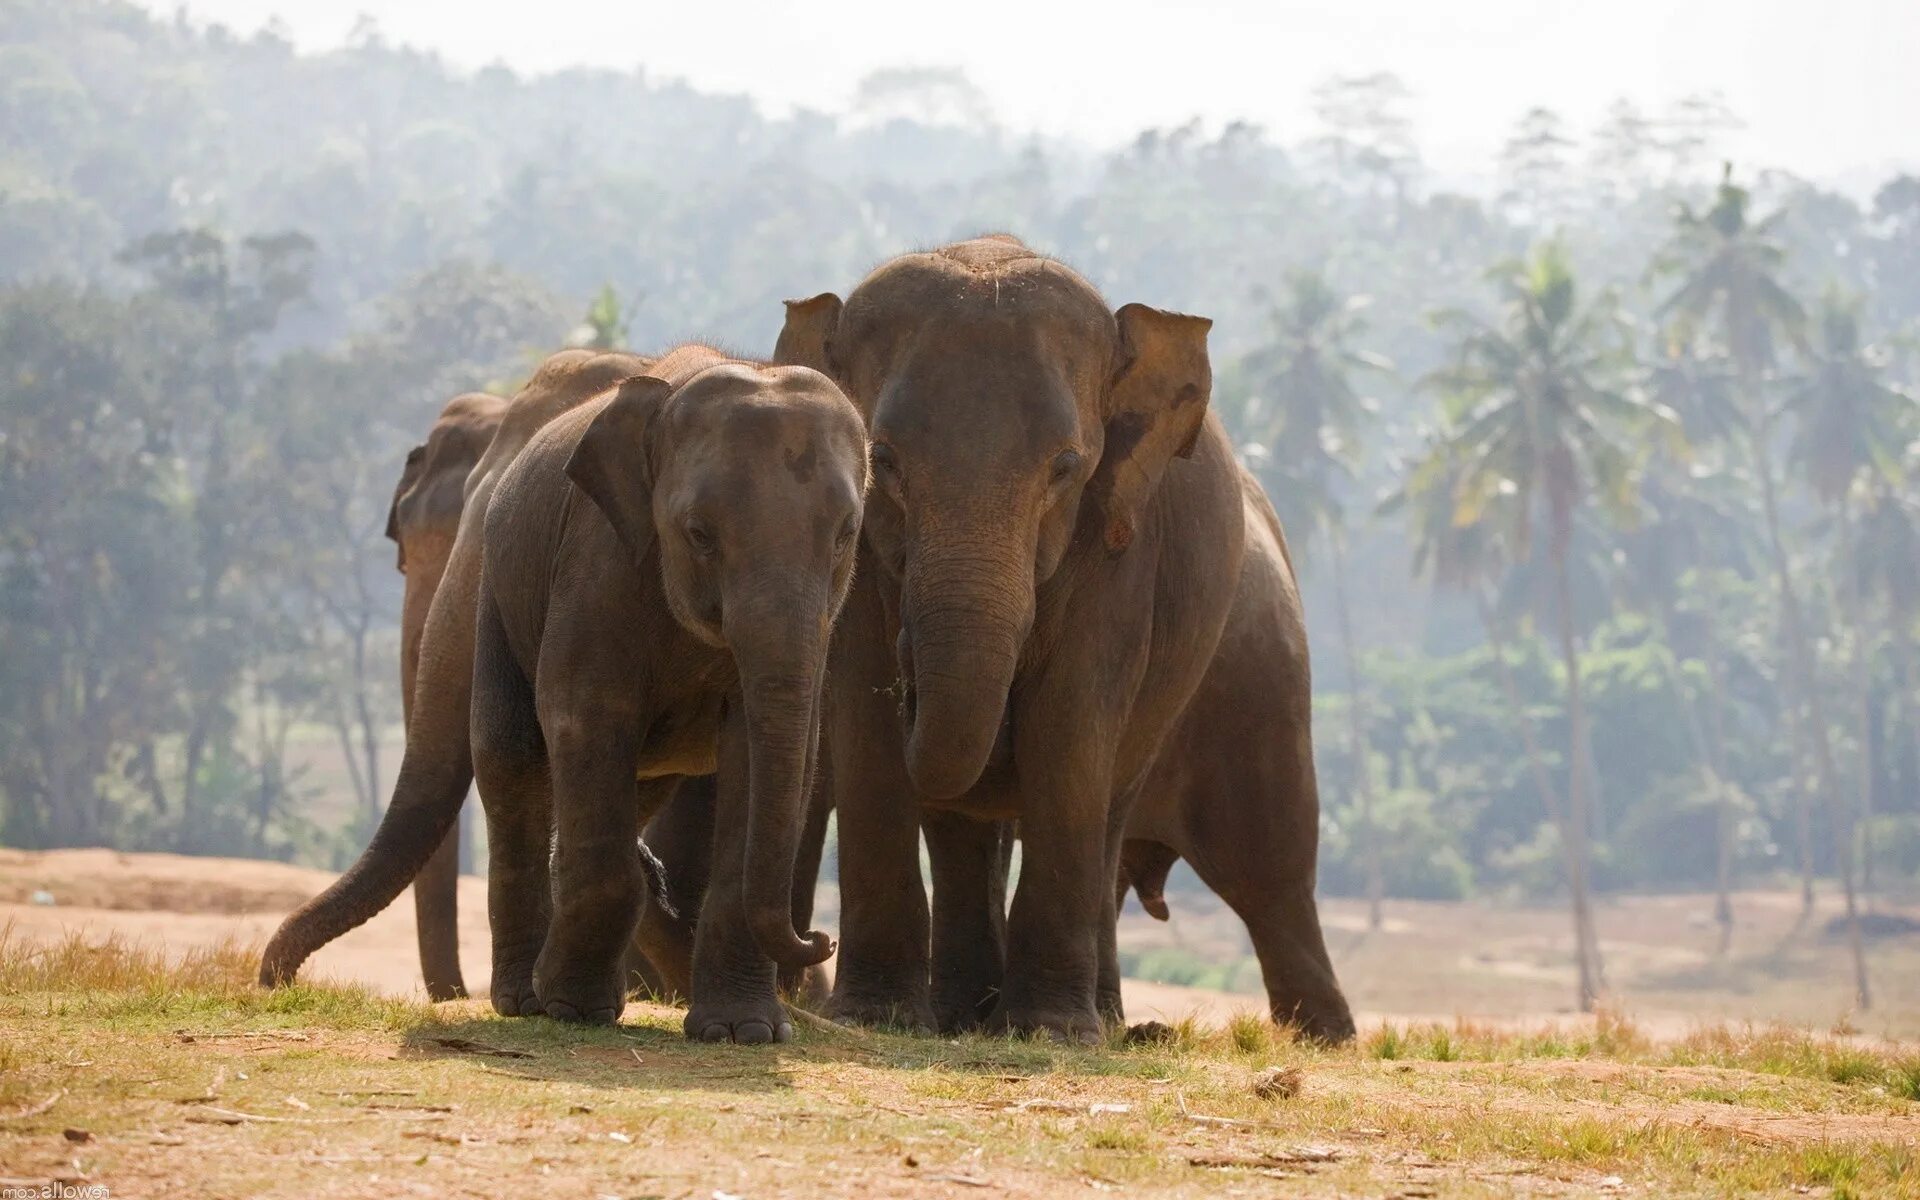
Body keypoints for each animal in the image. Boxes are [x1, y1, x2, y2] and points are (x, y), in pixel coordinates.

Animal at [464, 341, 864, 1036]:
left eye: (844, 534)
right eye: (699, 534)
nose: (822, 938)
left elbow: (759, 749)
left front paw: (744, 1033)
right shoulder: (597, 562)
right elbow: (584, 714)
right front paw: (574, 1011)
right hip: (500, 595)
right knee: (510, 756)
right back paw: (524, 1000)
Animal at [771, 231, 1359, 1036]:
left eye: (1066, 468)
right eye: (881, 461)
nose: (912, 667)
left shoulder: (1118, 546)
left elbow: (1070, 727)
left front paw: (1048, 1031)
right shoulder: (853, 557)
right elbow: (867, 726)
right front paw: (879, 1018)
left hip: (1261, 685)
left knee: (1264, 865)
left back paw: (1304, 1038)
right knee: (970, 832)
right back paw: (973, 1016)